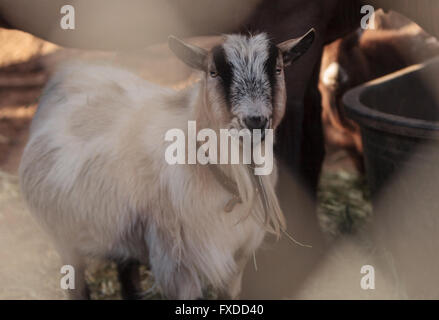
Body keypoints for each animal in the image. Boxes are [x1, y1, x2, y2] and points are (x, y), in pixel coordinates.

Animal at [19, 28, 316, 298]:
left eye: (277, 69)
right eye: (213, 72)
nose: (255, 121)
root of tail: (76, 71)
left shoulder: (238, 258)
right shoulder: (174, 261)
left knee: (127, 274)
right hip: (63, 236)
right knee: (76, 281)